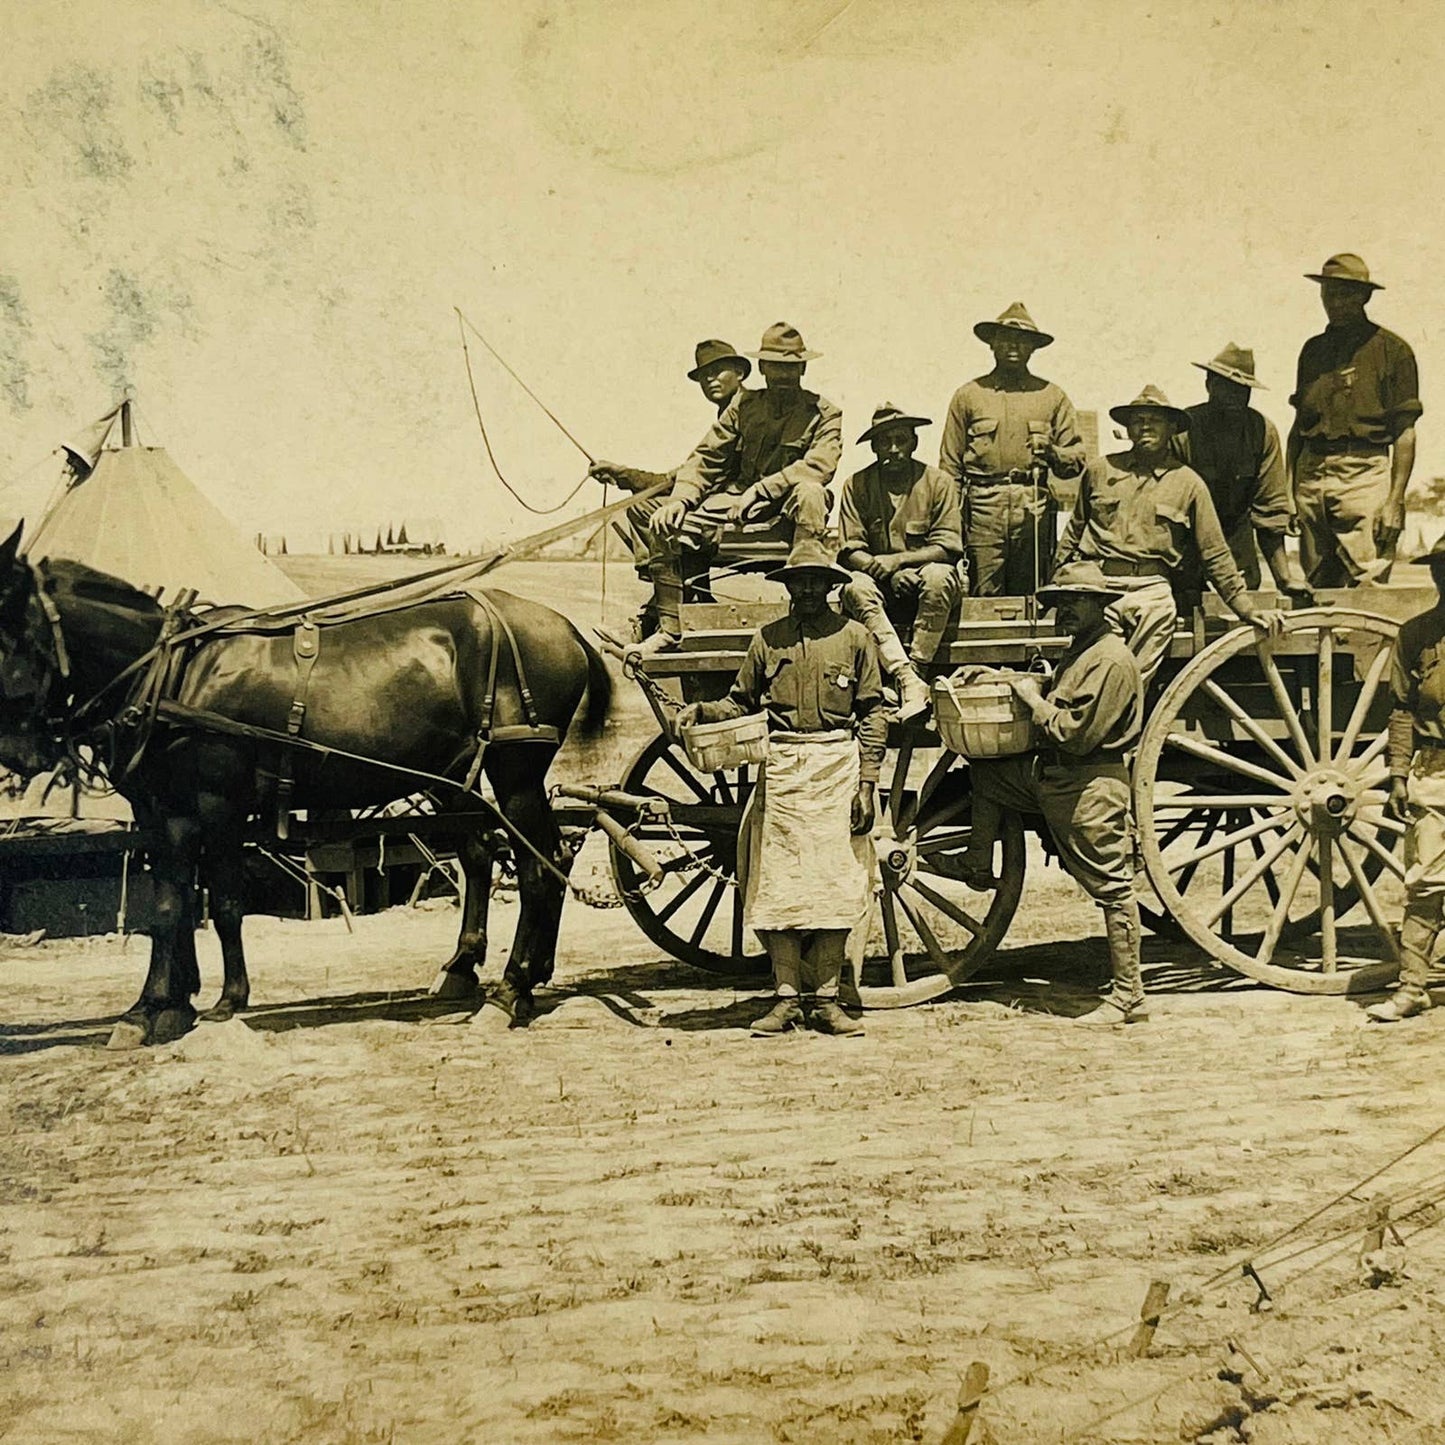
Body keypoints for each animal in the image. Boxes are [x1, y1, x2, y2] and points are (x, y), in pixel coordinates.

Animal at [0, 525, 609, 1046]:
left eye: (11, 637)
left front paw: (216, 1002)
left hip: (516, 773)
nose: (16, 753)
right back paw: (477, 971)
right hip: (452, 777)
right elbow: (172, 903)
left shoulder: (215, 808)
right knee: (489, 855)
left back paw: (512, 989)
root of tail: (563, 627)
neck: (178, 675)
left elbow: (219, 903)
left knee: (538, 867)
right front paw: (161, 1004)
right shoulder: (160, 812)